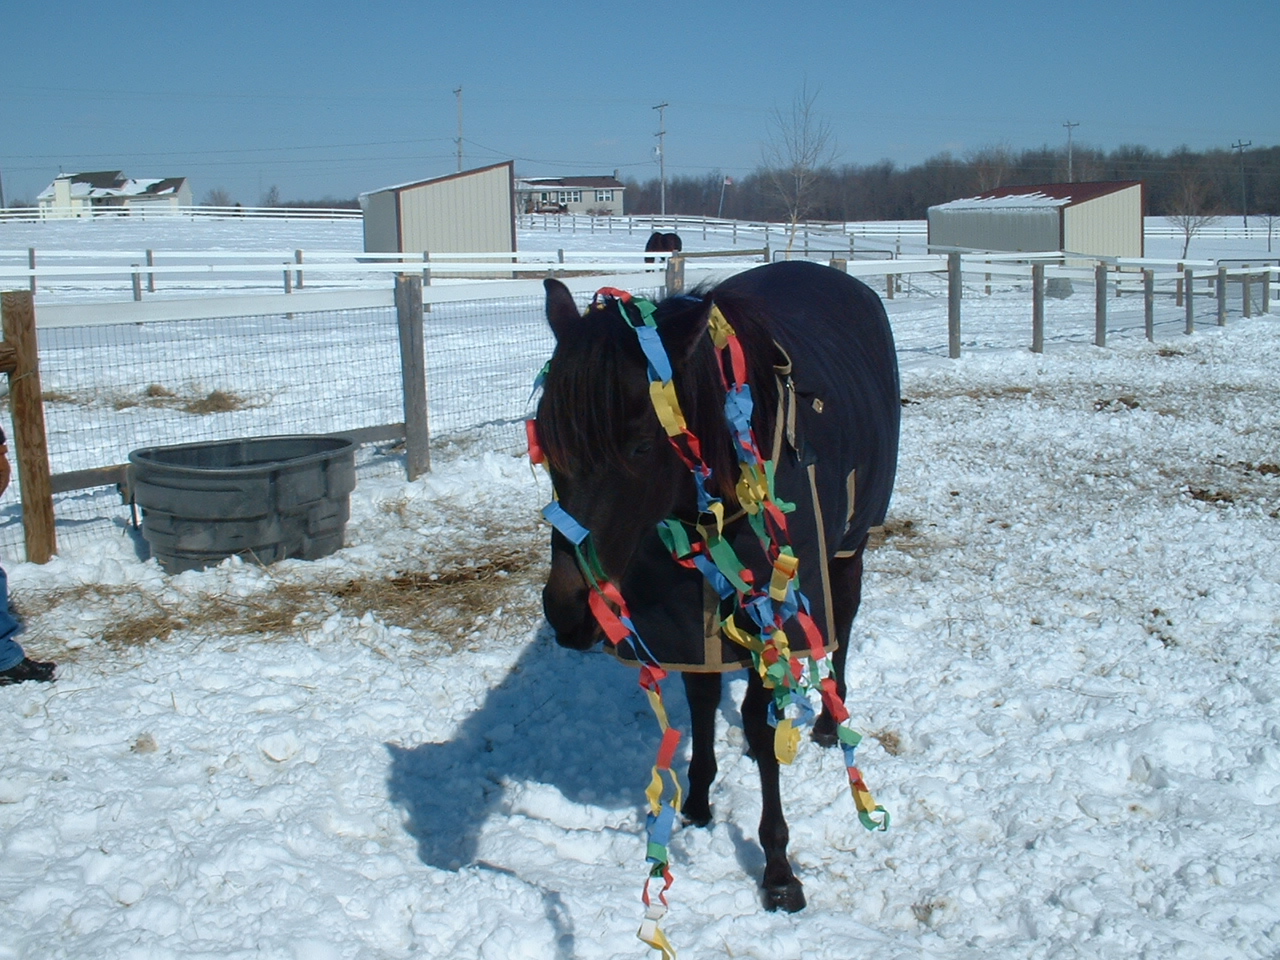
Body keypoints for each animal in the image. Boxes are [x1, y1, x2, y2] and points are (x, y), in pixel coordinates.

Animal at [534, 259, 900, 913]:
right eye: (547, 443)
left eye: (641, 444)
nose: (568, 611)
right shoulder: (688, 607)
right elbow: (703, 695)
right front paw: (699, 799)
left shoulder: (770, 604)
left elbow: (759, 717)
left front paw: (778, 867)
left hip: (849, 543)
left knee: (844, 622)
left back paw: (828, 722)